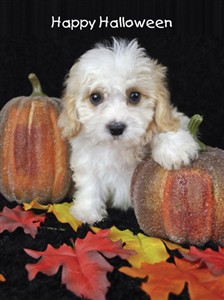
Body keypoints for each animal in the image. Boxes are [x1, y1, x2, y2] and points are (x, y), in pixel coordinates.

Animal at [58, 38, 199, 224]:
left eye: (135, 96)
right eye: (95, 97)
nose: (116, 127)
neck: (118, 147)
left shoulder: (176, 118)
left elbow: (163, 126)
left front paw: (175, 150)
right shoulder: (86, 156)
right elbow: (90, 182)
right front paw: (87, 211)